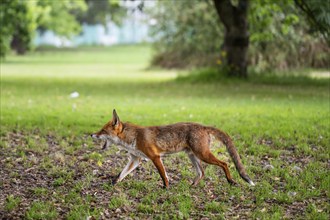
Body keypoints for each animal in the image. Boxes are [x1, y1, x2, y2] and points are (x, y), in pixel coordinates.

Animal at [91, 109, 255, 188]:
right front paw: (112, 184)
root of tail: (203, 126)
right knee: (201, 173)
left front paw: (166, 187)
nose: (92, 134)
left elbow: (163, 175)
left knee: (225, 163)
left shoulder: (155, 157)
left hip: (203, 155)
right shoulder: (135, 159)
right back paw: (192, 186)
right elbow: (121, 174)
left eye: (103, 131)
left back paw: (230, 181)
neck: (133, 137)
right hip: (193, 156)